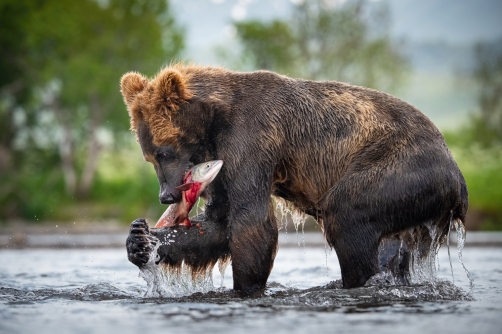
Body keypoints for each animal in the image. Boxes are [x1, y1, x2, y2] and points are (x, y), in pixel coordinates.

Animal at [120, 64, 466, 294]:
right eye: (149, 156)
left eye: (164, 151)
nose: (166, 195)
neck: (214, 121)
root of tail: (456, 173)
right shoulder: (221, 163)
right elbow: (218, 223)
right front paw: (141, 239)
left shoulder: (251, 140)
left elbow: (251, 222)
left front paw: (245, 288)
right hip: (413, 206)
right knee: (392, 245)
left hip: (400, 168)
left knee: (348, 213)